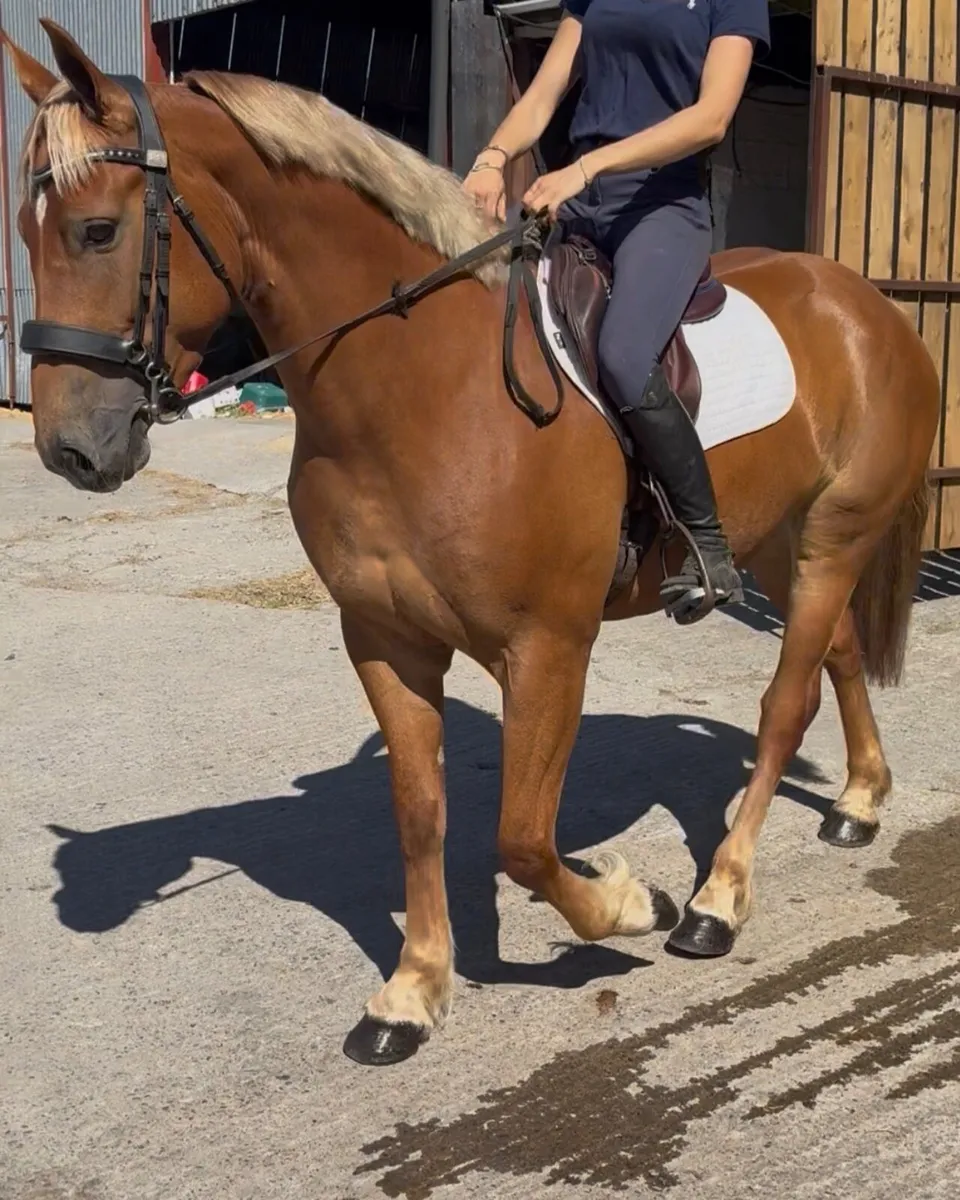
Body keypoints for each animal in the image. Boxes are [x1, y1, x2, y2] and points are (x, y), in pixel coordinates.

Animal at [4, 19, 939, 1066]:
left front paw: (627, 904)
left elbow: (522, 837)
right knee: (841, 656)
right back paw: (859, 802)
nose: (72, 449)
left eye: (96, 230)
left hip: (830, 541)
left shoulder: (548, 648)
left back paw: (717, 900)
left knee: (785, 704)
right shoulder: (384, 639)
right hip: (780, 538)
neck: (423, 386)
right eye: (27, 232)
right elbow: (421, 814)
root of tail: (862, 301)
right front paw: (411, 993)